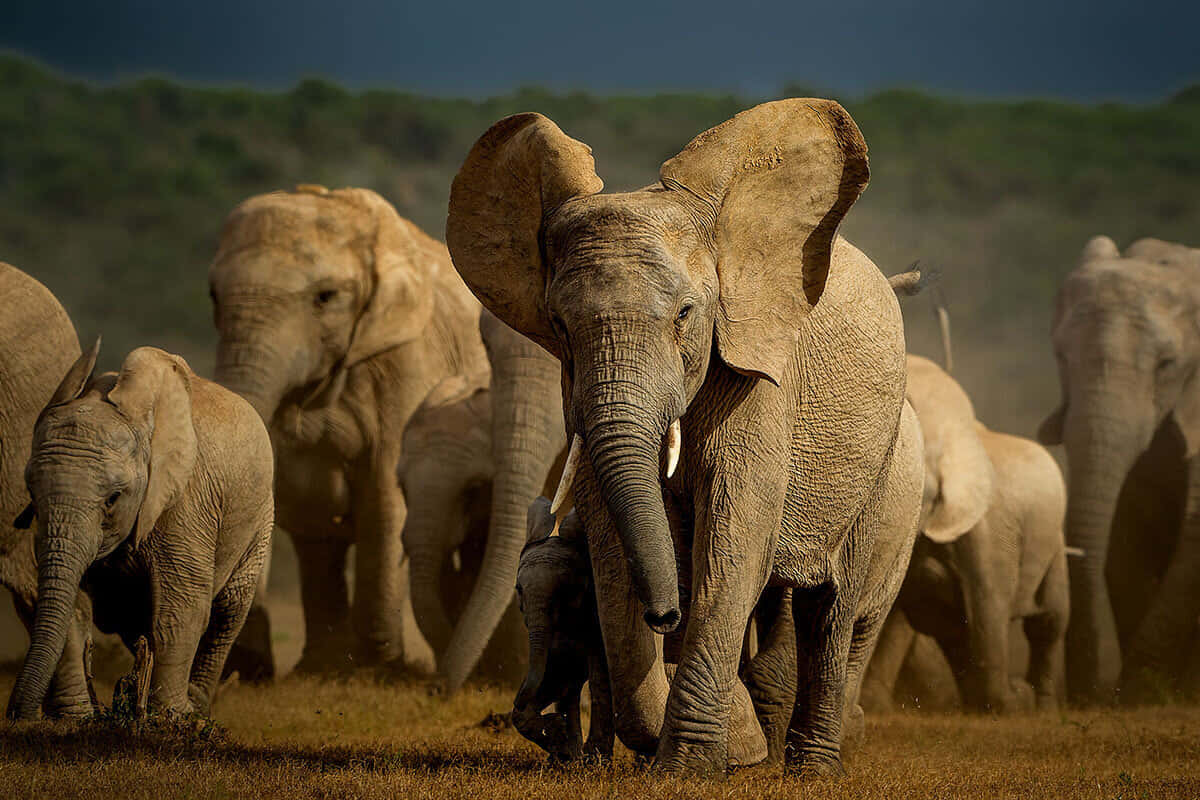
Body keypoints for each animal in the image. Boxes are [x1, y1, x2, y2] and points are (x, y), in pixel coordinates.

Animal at [7, 343, 274, 718]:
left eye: (113, 498)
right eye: (32, 492)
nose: (18, 714)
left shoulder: (185, 502)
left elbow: (181, 608)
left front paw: (171, 718)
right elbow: (72, 603)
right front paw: (76, 718)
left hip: (261, 517)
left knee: (228, 612)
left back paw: (196, 708)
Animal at [209, 184, 490, 674]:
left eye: (325, 297)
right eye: (213, 299)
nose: (249, 666)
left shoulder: (407, 364)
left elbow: (384, 494)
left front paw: (380, 668)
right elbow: (303, 502)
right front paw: (314, 670)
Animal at [446, 99, 924, 774]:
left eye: (684, 316)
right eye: (559, 325)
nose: (666, 614)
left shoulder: (758, 375)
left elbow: (733, 540)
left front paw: (701, 763)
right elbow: (614, 548)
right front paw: (725, 747)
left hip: (885, 469)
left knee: (834, 609)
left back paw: (810, 769)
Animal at [865, 355, 1069, 712]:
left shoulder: (986, 532)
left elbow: (988, 607)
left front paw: (1012, 703)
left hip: (1054, 542)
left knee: (1049, 622)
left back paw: (1039, 708)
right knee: (943, 625)